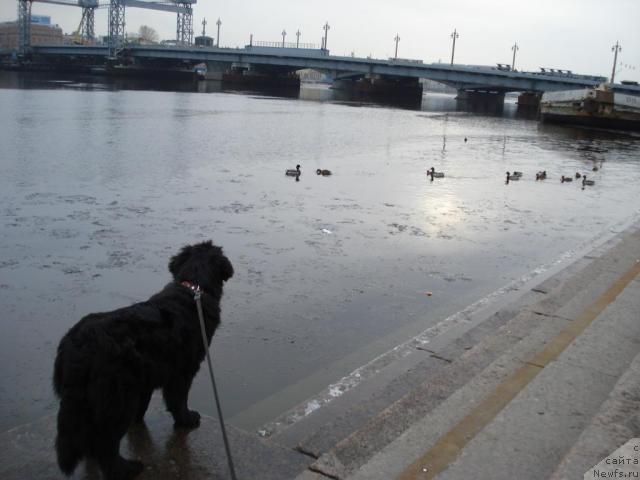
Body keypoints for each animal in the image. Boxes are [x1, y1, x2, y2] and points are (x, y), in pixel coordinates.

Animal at [52, 242, 232, 480]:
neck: (194, 288)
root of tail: (77, 346)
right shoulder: (182, 371)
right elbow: (178, 399)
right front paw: (186, 419)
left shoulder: (147, 377)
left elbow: (144, 404)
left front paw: (139, 423)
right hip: (118, 398)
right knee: (105, 444)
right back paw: (126, 469)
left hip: (92, 400)